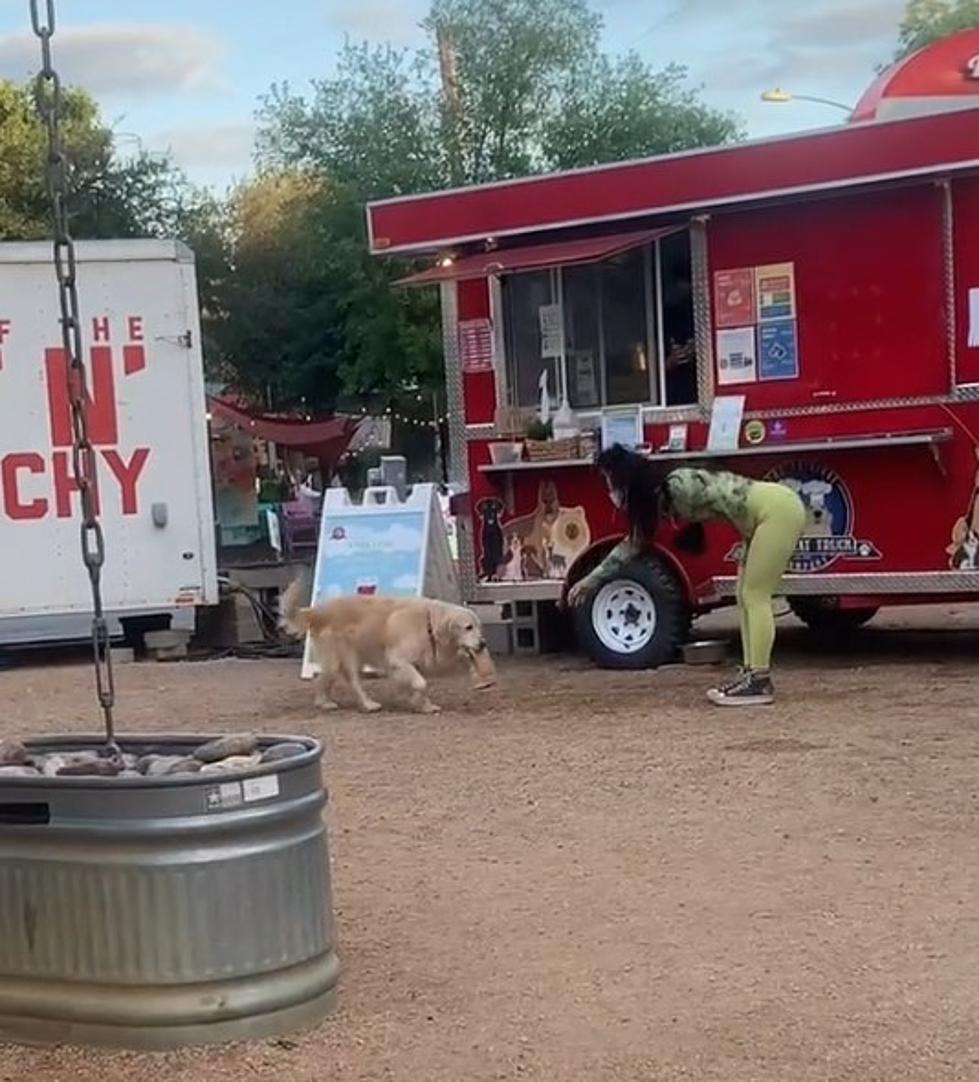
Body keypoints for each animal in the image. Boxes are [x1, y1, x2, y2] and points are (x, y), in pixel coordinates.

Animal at [283, 579, 497, 714]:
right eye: (468, 627)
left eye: (479, 627)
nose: (483, 643)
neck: (428, 624)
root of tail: (317, 611)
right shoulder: (398, 660)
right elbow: (421, 683)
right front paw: (417, 701)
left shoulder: (412, 664)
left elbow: (418, 685)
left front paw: (422, 705)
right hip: (344, 656)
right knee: (351, 682)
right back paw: (367, 704)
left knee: (323, 679)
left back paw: (324, 702)